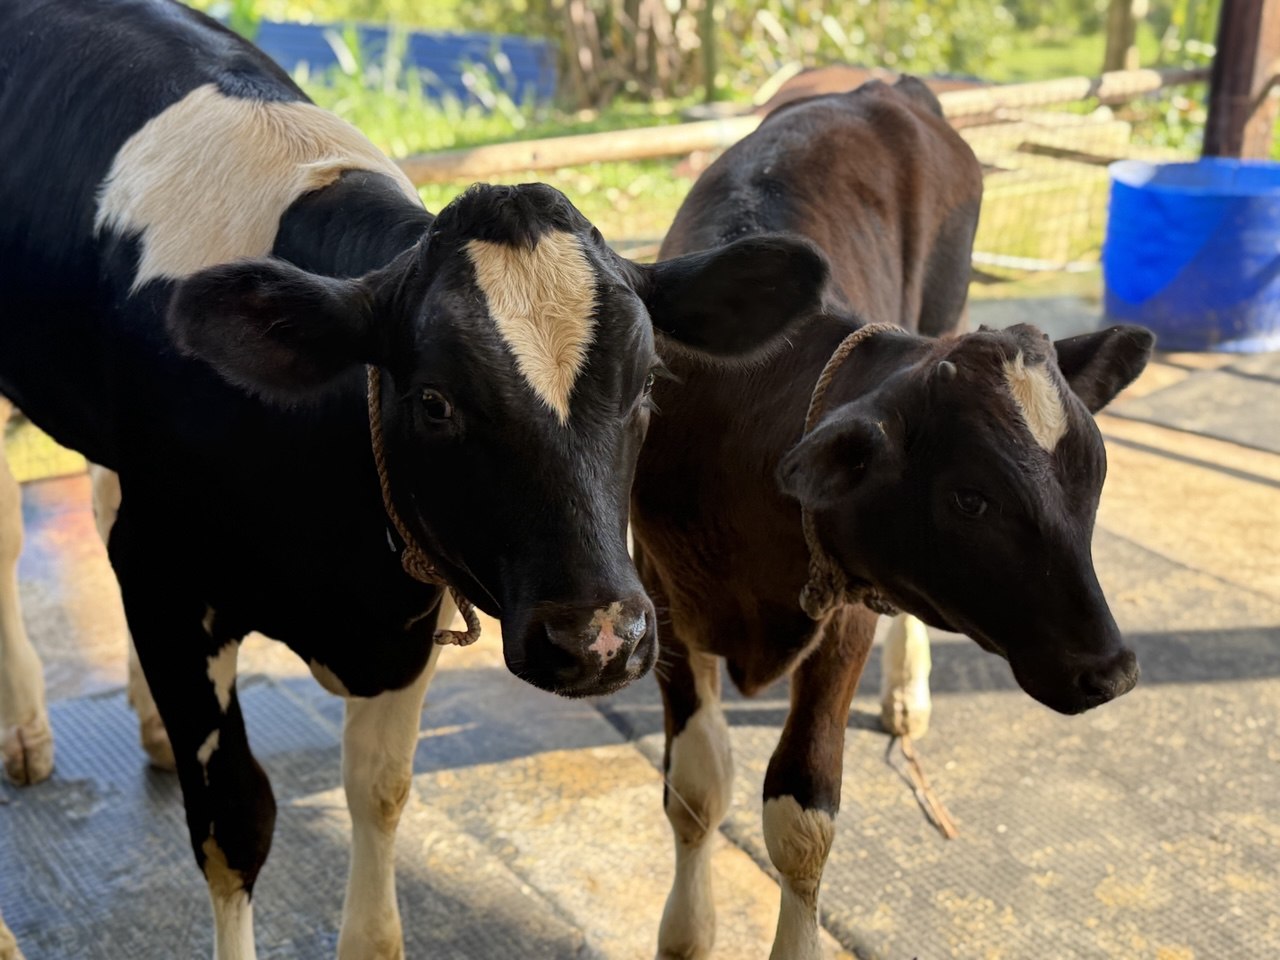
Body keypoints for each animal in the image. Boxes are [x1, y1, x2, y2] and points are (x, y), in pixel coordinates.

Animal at [0, 1, 829, 956]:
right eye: (434, 402)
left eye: (649, 384)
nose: (599, 640)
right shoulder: (166, 579)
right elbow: (235, 822)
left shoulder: (402, 618)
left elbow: (382, 798)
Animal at [630, 77, 1154, 960]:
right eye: (970, 497)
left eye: (1095, 476)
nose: (1111, 671)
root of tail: (882, 88)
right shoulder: (662, 593)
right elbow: (697, 789)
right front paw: (686, 933)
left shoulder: (845, 609)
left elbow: (802, 817)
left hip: (949, 295)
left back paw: (908, 693)